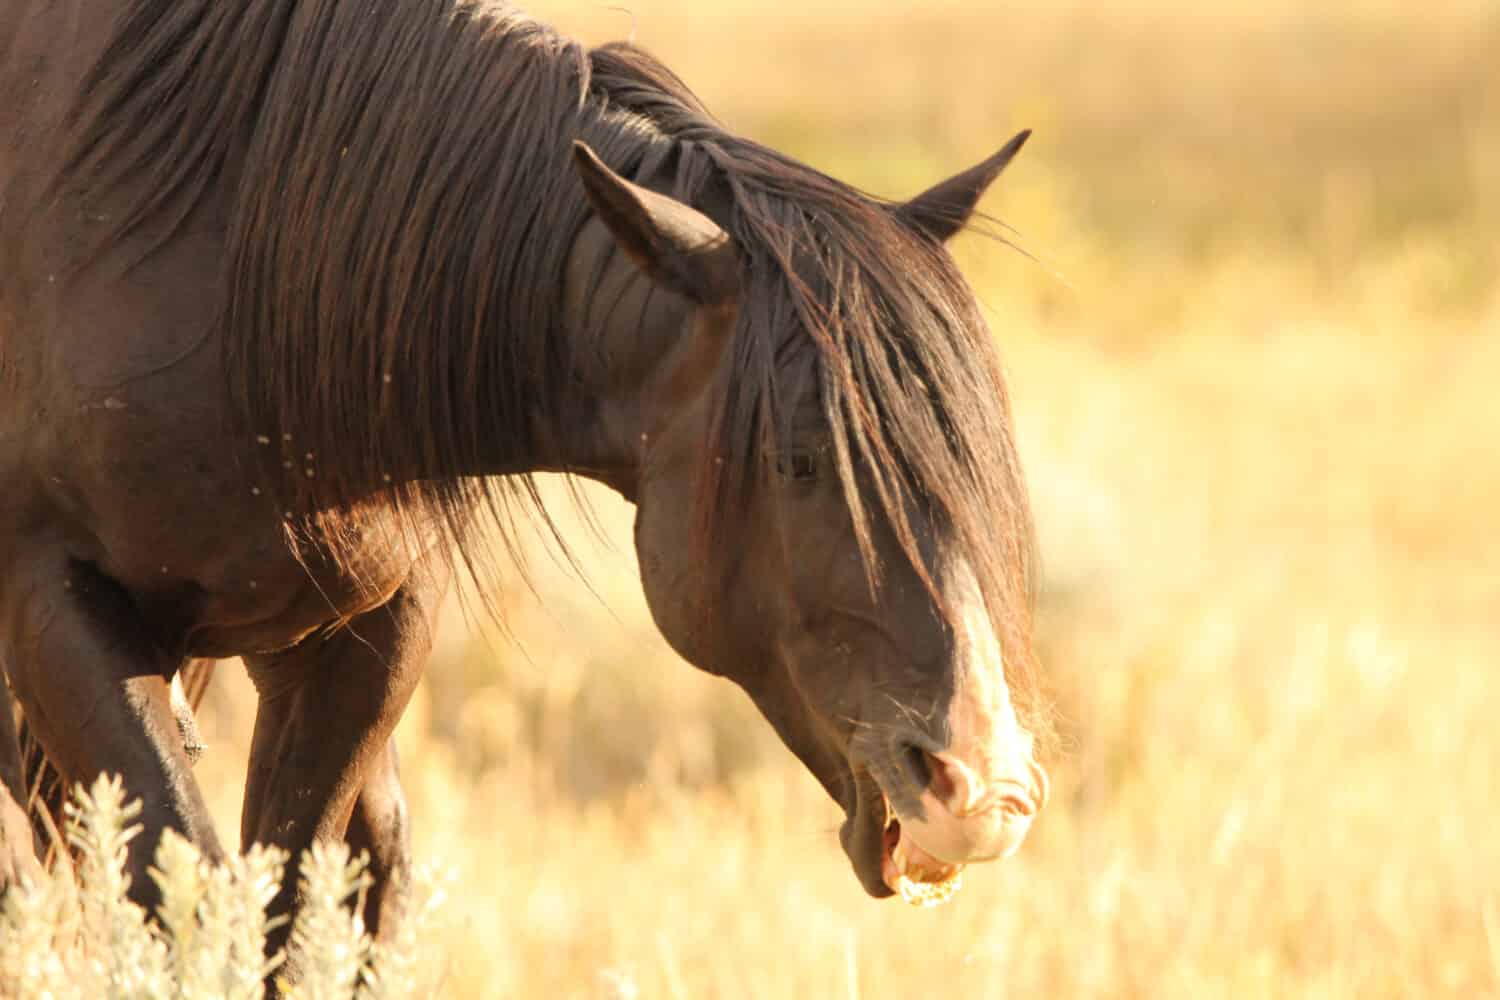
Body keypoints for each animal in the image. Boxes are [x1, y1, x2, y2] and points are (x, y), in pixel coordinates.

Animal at [0, 0, 1056, 953]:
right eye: (798, 457)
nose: (979, 788)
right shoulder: (55, 611)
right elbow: (185, 902)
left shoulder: (364, 633)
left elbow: (298, 911)